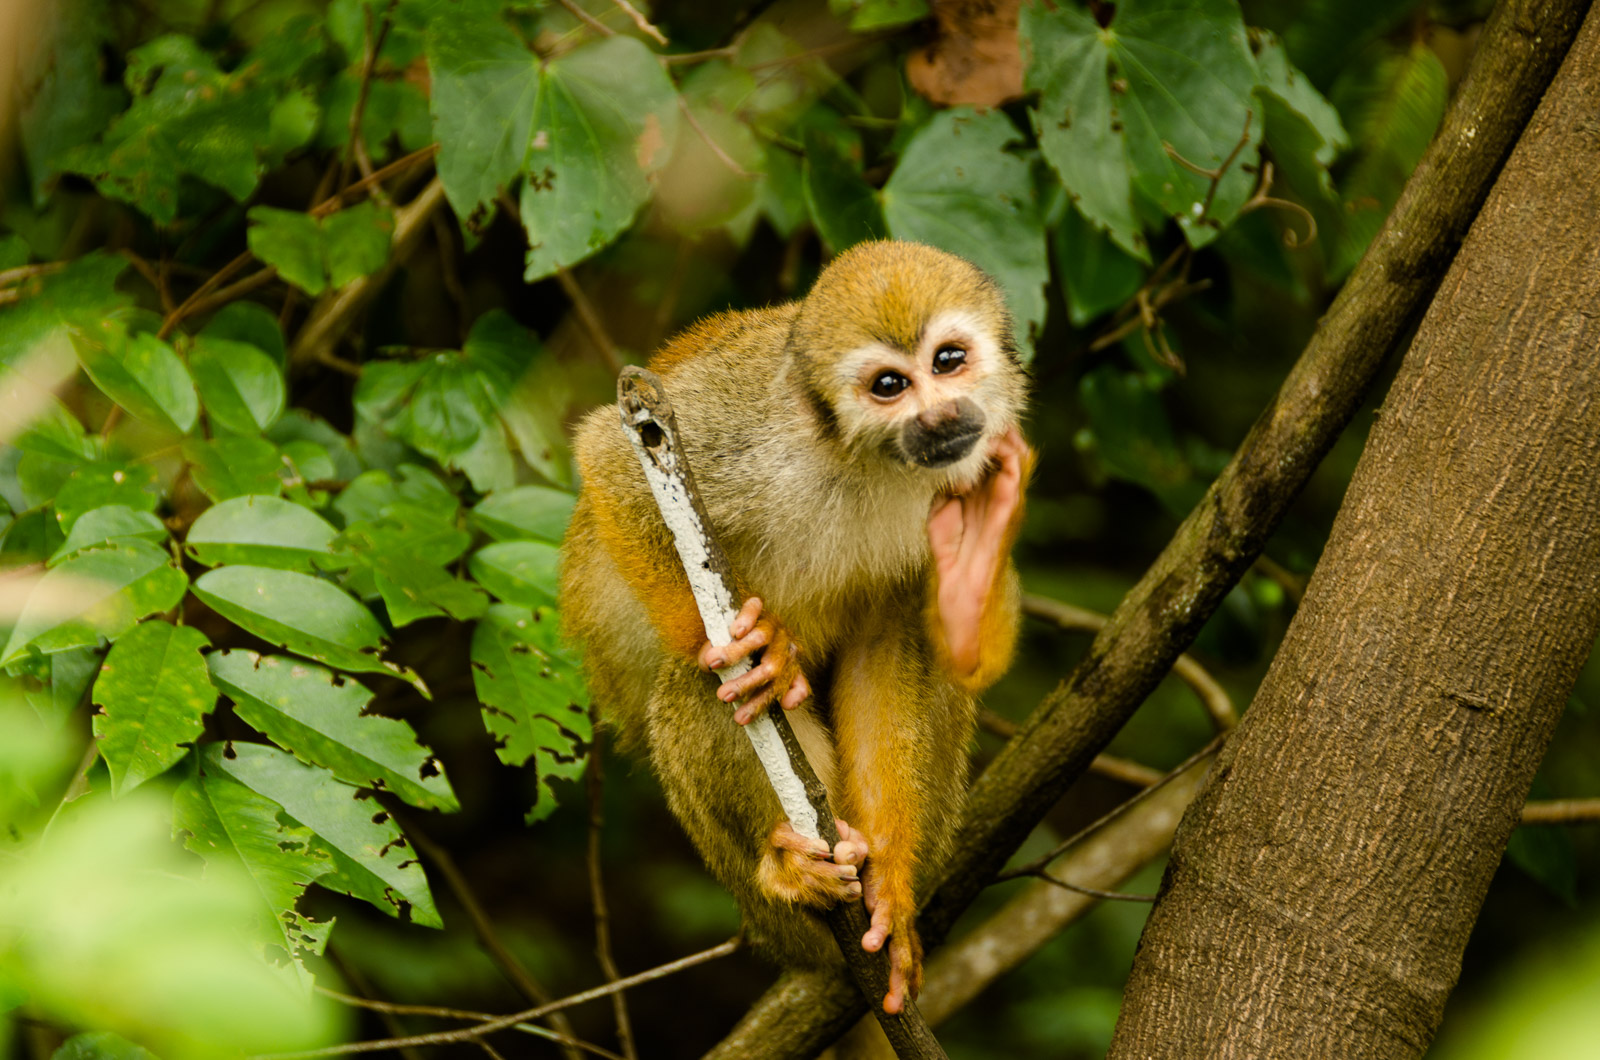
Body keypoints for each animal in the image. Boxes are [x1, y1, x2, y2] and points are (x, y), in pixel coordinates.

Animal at [563, 238, 1030, 1011]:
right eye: (889, 385)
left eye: (948, 362)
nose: (942, 418)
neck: (866, 457)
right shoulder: (746, 426)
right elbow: (612, 454)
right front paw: (747, 650)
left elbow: (901, 647)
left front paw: (890, 888)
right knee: (695, 685)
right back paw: (783, 870)